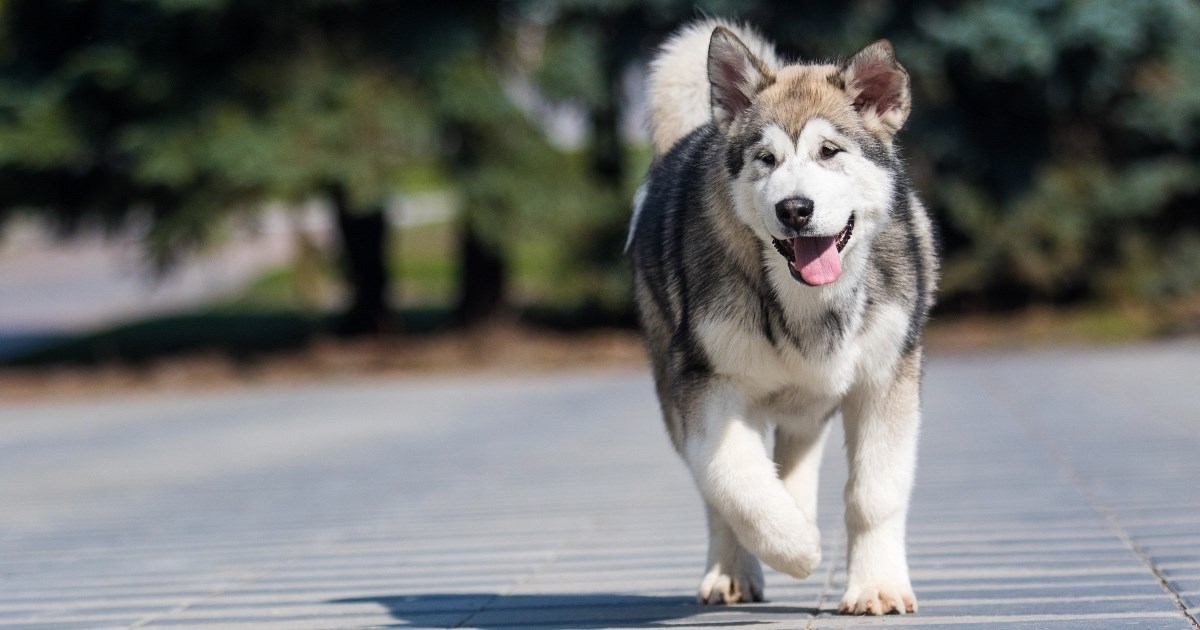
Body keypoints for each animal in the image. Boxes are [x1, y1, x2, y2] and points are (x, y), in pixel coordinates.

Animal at [624, 18, 940, 614]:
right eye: (765, 160)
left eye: (829, 151)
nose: (794, 209)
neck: (808, 302)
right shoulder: (708, 384)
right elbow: (732, 479)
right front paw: (797, 545)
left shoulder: (887, 377)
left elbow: (875, 493)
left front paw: (877, 585)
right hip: (672, 382)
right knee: (718, 491)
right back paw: (732, 570)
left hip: (811, 397)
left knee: (799, 448)